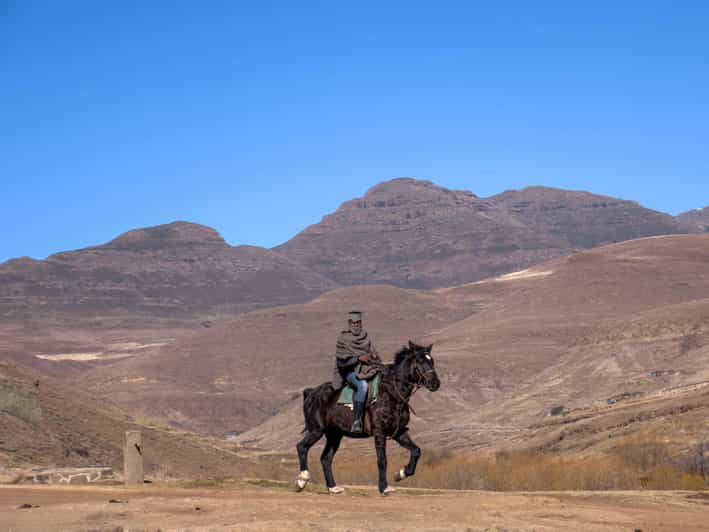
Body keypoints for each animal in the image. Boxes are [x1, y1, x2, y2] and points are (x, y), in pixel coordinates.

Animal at [294, 340, 436, 494]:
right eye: (420, 361)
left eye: (432, 361)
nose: (436, 383)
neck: (391, 394)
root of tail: (312, 392)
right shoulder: (379, 433)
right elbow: (382, 461)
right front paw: (383, 487)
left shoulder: (399, 432)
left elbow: (416, 451)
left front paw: (400, 474)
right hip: (316, 430)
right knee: (302, 447)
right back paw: (302, 480)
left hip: (334, 435)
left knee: (325, 459)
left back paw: (333, 487)